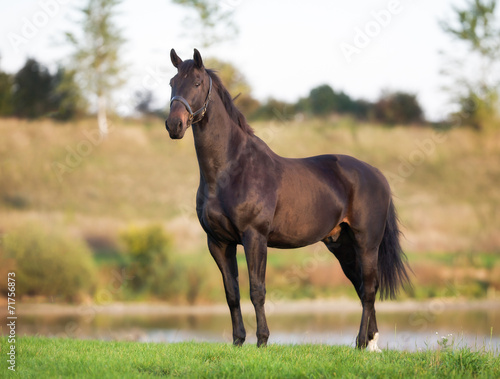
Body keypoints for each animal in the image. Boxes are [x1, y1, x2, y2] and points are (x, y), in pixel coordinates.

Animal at [164, 49, 410, 352]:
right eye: (172, 82)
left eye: (197, 83)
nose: (174, 125)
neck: (231, 169)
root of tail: (377, 175)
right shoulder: (219, 242)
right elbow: (232, 293)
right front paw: (238, 341)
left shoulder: (254, 237)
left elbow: (257, 290)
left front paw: (262, 341)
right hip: (341, 244)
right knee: (364, 285)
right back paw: (370, 345)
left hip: (367, 242)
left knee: (369, 289)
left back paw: (362, 341)